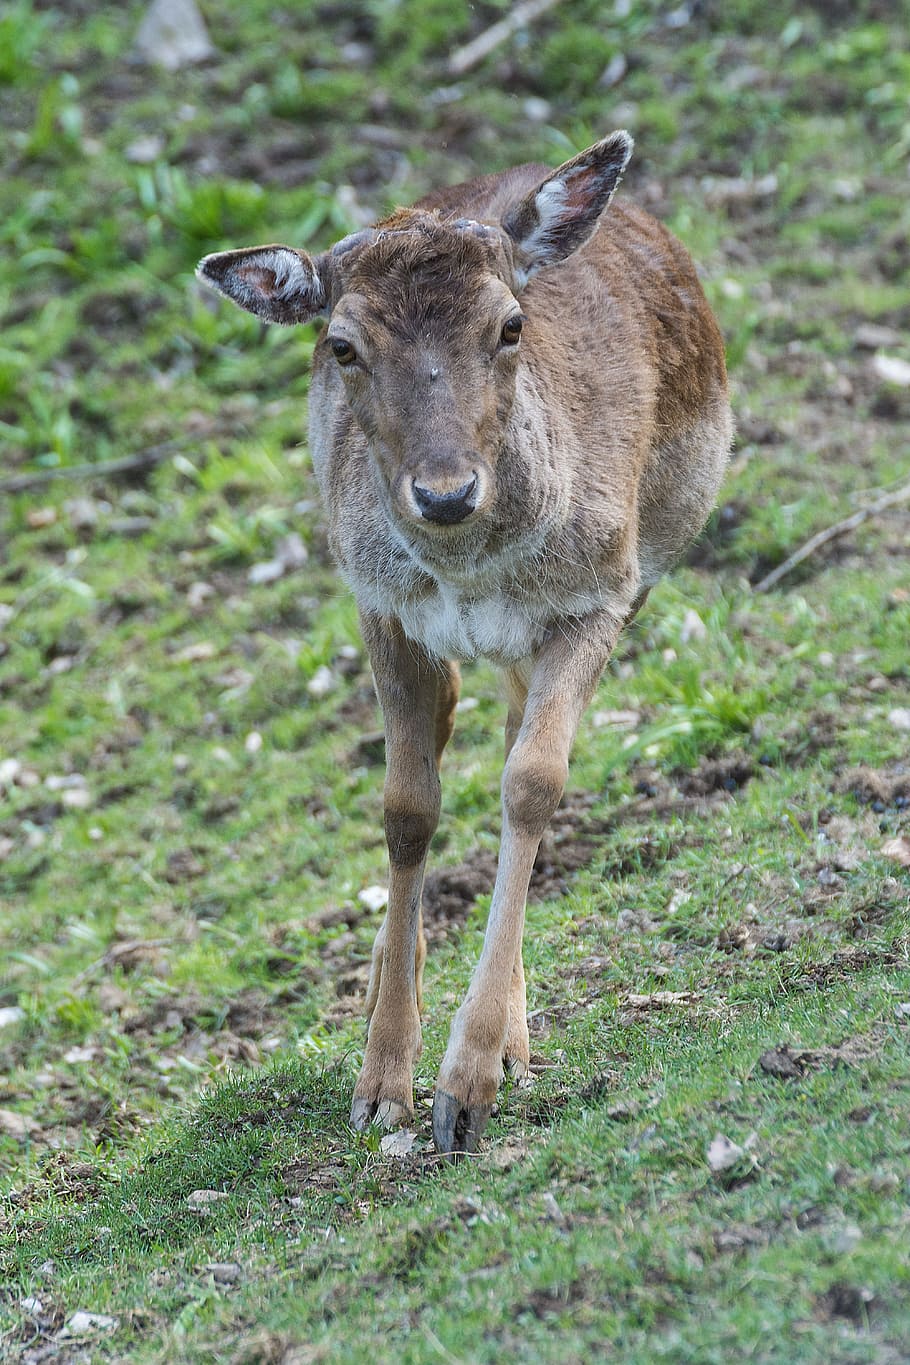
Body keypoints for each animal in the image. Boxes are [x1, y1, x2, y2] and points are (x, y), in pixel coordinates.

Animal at [197, 131, 733, 1157]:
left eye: (511, 325)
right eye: (342, 346)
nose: (444, 493)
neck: (472, 569)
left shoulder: (599, 593)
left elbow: (533, 781)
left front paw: (468, 1086)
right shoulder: (380, 604)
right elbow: (406, 806)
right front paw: (381, 1082)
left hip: (636, 571)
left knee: (520, 728)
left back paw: (511, 1038)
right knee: (447, 720)